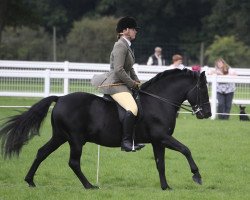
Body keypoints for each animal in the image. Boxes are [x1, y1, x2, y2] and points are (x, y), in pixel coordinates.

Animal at [0, 69, 211, 191]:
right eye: (202, 89)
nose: (207, 113)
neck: (159, 101)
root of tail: (60, 99)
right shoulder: (163, 137)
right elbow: (186, 150)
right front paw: (197, 176)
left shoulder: (158, 141)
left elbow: (161, 164)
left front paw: (166, 187)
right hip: (75, 139)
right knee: (73, 162)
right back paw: (89, 186)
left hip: (60, 136)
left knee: (42, 152)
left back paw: (30, 181)